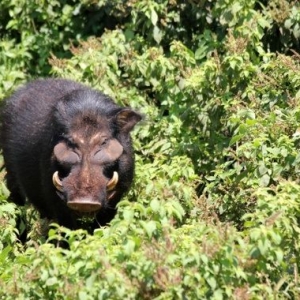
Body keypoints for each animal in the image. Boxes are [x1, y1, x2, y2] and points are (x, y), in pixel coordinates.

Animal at [0, 78, 141, 230]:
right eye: (69, 141)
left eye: (104, 141)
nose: (83, 202)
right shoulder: (53, 194)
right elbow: (67, 227)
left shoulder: (119, 192)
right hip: (11, 175)